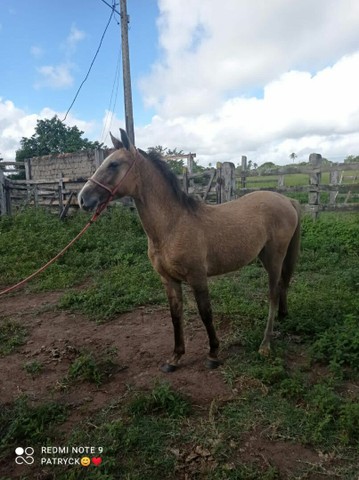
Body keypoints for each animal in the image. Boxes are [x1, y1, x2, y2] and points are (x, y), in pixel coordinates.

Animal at [79, 129, 300, 374]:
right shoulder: (169, 280)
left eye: (114, 164)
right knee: (282, 287)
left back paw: (265, 345)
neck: (172, 226)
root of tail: (287, 199)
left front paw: (213, 354)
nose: (83, 199)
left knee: (273, 294)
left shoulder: (197, 277)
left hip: (274, 259)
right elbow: (176, 315)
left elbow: (206, 313)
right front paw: (175, 358)